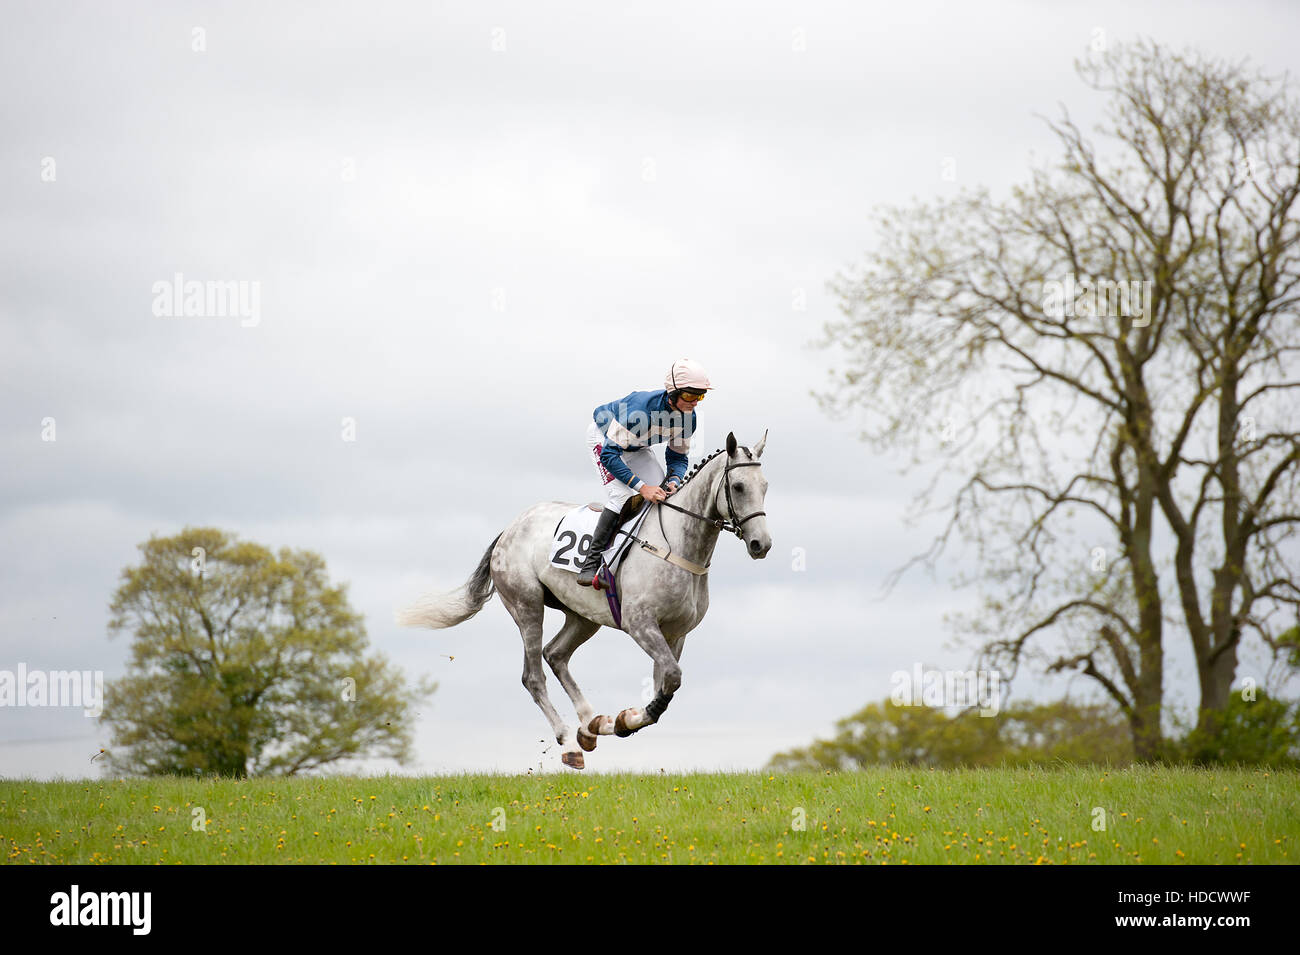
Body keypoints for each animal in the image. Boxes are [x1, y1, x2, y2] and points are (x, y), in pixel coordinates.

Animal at [396, 430, 771, 769]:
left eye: (765, 486)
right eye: (738, 487)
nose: (761, 544)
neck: (677, 545)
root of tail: (509, 528)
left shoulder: (676, 633)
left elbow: (664, 685)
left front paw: (619, 720)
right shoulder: (641, 624)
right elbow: (671, 678)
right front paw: (625, 720)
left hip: (583, 615)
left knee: (556, 654)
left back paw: (592, 723)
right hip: (527, 605)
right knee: (533, 675)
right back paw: (568, 742)